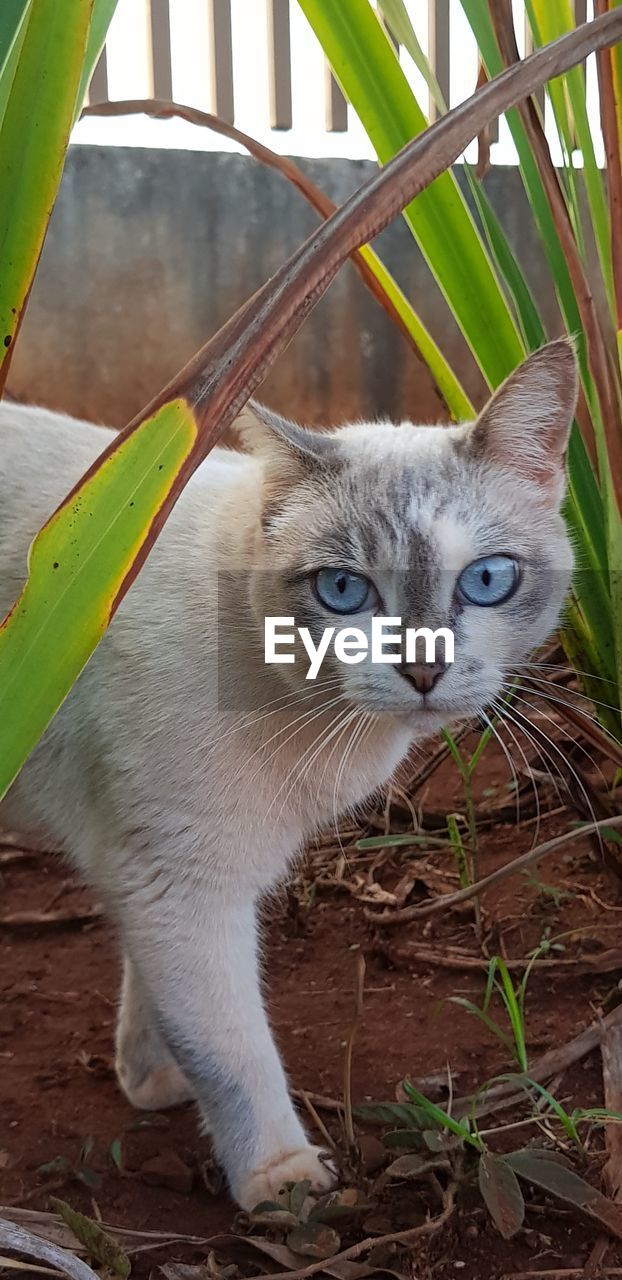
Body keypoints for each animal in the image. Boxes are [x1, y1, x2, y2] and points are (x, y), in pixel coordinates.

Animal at [0, 335, 575, 1203]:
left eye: (485, 580)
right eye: (343, 590)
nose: (423, 670)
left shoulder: (137, 863)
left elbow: (150, 995)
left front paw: (149, 1081)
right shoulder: (183, 885)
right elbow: (233, 1051)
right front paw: (280, 1183)